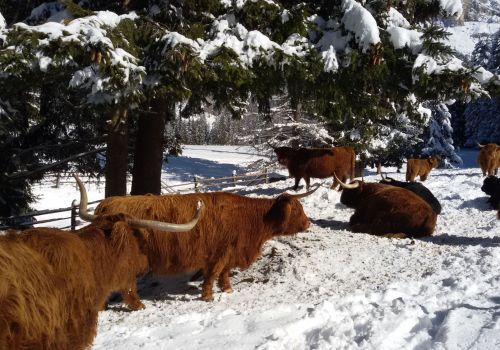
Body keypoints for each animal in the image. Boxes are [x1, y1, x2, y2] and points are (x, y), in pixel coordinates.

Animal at [84, 183, 314, 300]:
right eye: (298, 211)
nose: (309, 223)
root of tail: (106, 205)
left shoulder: (228, 253)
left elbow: (224, 273)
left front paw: (227, 289)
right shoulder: (218, 254)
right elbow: (212, 275)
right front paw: (208, 296)